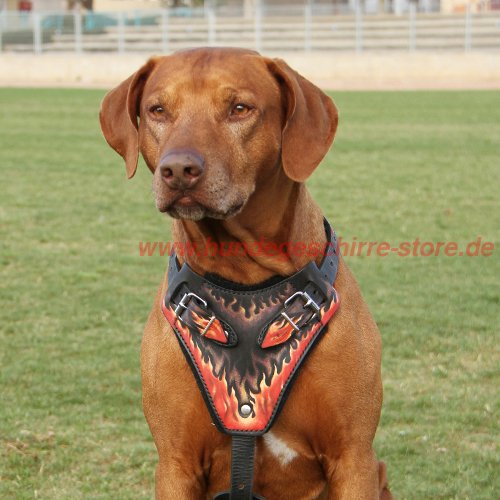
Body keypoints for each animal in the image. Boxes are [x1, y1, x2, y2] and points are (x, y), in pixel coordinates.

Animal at [100, 47, 390, 500]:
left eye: (239, 108)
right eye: (157, 110)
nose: (178, 170)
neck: (246, 277)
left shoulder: (354, 458)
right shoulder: (177, 464)